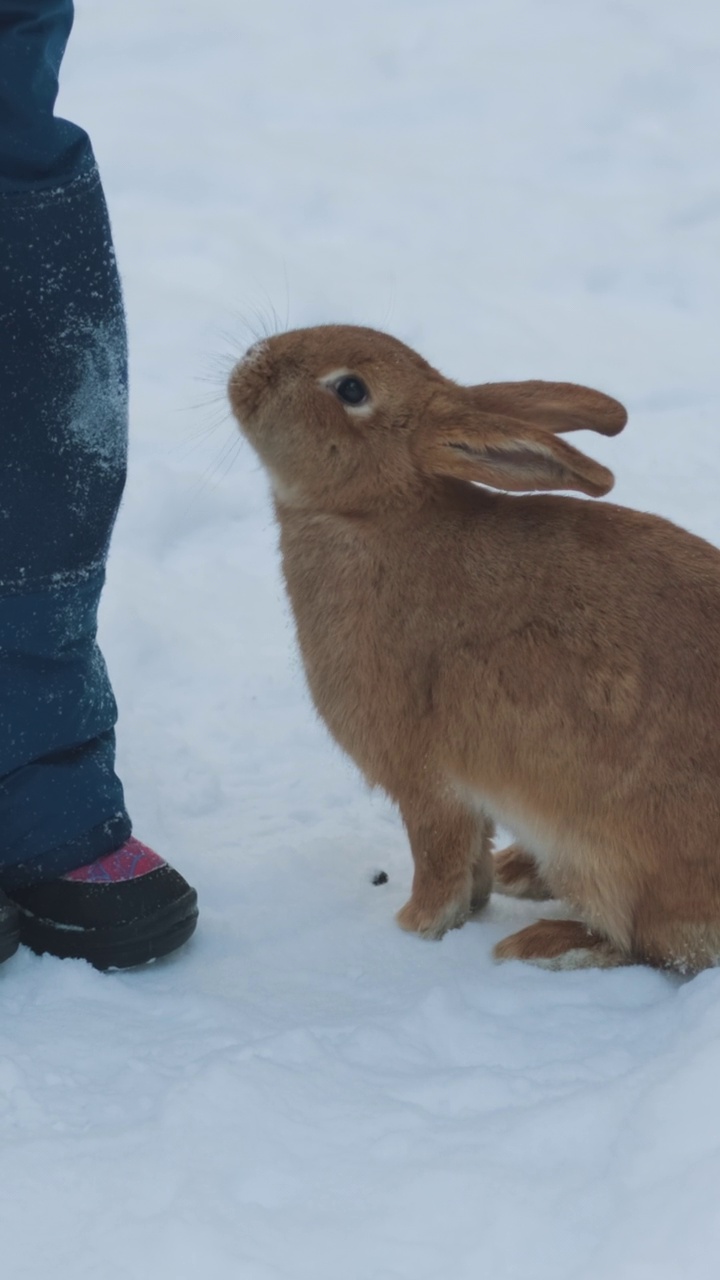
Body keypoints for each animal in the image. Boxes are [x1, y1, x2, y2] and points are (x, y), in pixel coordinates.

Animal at [226, 325, 717, 972]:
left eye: (351, 389)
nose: (246, 366)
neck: (372, 515)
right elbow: (472, 856)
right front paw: (475, 899)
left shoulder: (426, 783)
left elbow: (439, 856)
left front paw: (415, 927)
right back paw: (519, 875)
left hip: (611, 856)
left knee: (642, 942)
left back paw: (539, 943)